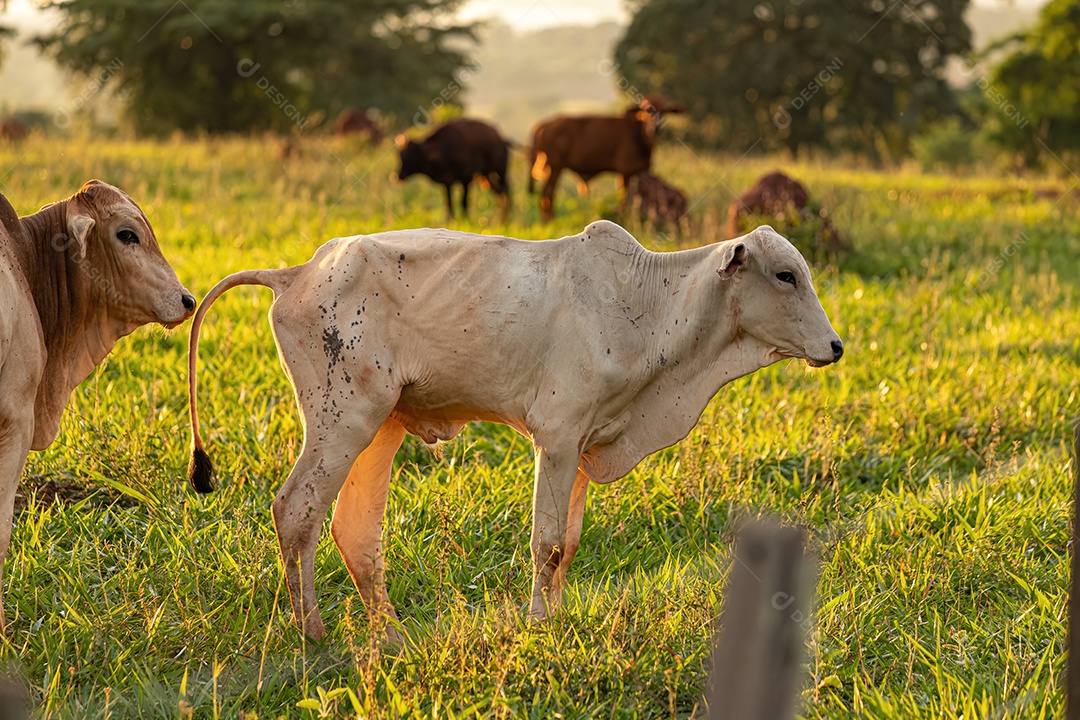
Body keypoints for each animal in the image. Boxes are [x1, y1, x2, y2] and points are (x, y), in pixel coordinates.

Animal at [185, 220, 842, 643]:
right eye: (786, 275)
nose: (835, 346)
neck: (648, 305)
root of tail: (297, 271)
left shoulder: (582, 445)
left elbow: (568, 544)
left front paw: (556, 618)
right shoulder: (556, 436)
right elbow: (546, 543)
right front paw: (537, 624)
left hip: (379, 425)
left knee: (356, 530)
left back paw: (390, 635)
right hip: (340, 419)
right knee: (296, 508)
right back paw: (313, 634)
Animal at [524, 95, 682, 221]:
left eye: (665, 111)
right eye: (646, 110)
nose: (655, 128)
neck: (639, 136)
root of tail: (542, 125)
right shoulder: (624, 173)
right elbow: (623, 198)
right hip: (555, 167)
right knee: (547, 194)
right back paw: (549, 222)